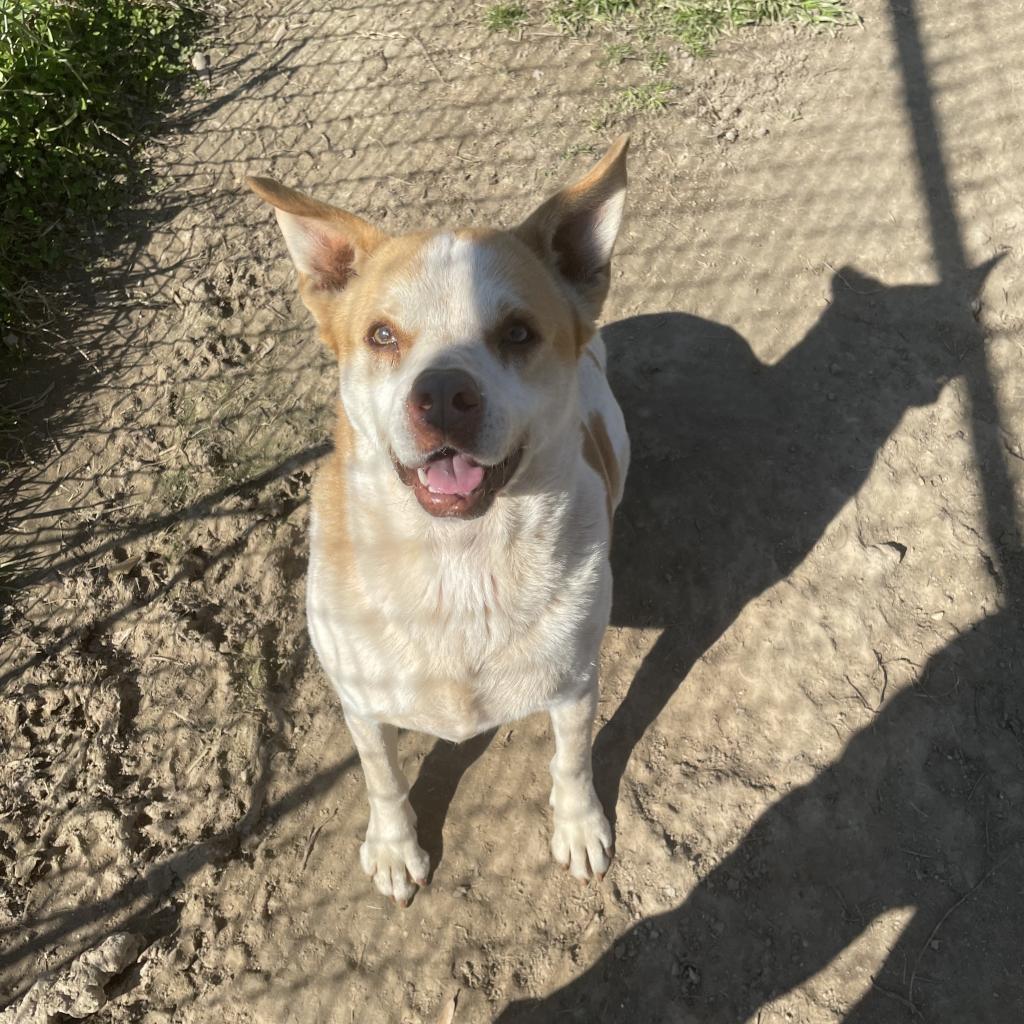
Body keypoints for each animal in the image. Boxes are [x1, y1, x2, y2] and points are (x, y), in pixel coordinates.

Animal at [248, 138, 630, 905]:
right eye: (382, 335)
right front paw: (396, 849)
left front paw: (578, 826)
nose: (445, 395)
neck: (459, 562)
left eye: (518, 332)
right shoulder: (362, 706)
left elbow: (572, 762)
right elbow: (383, 781)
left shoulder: (576, 685)